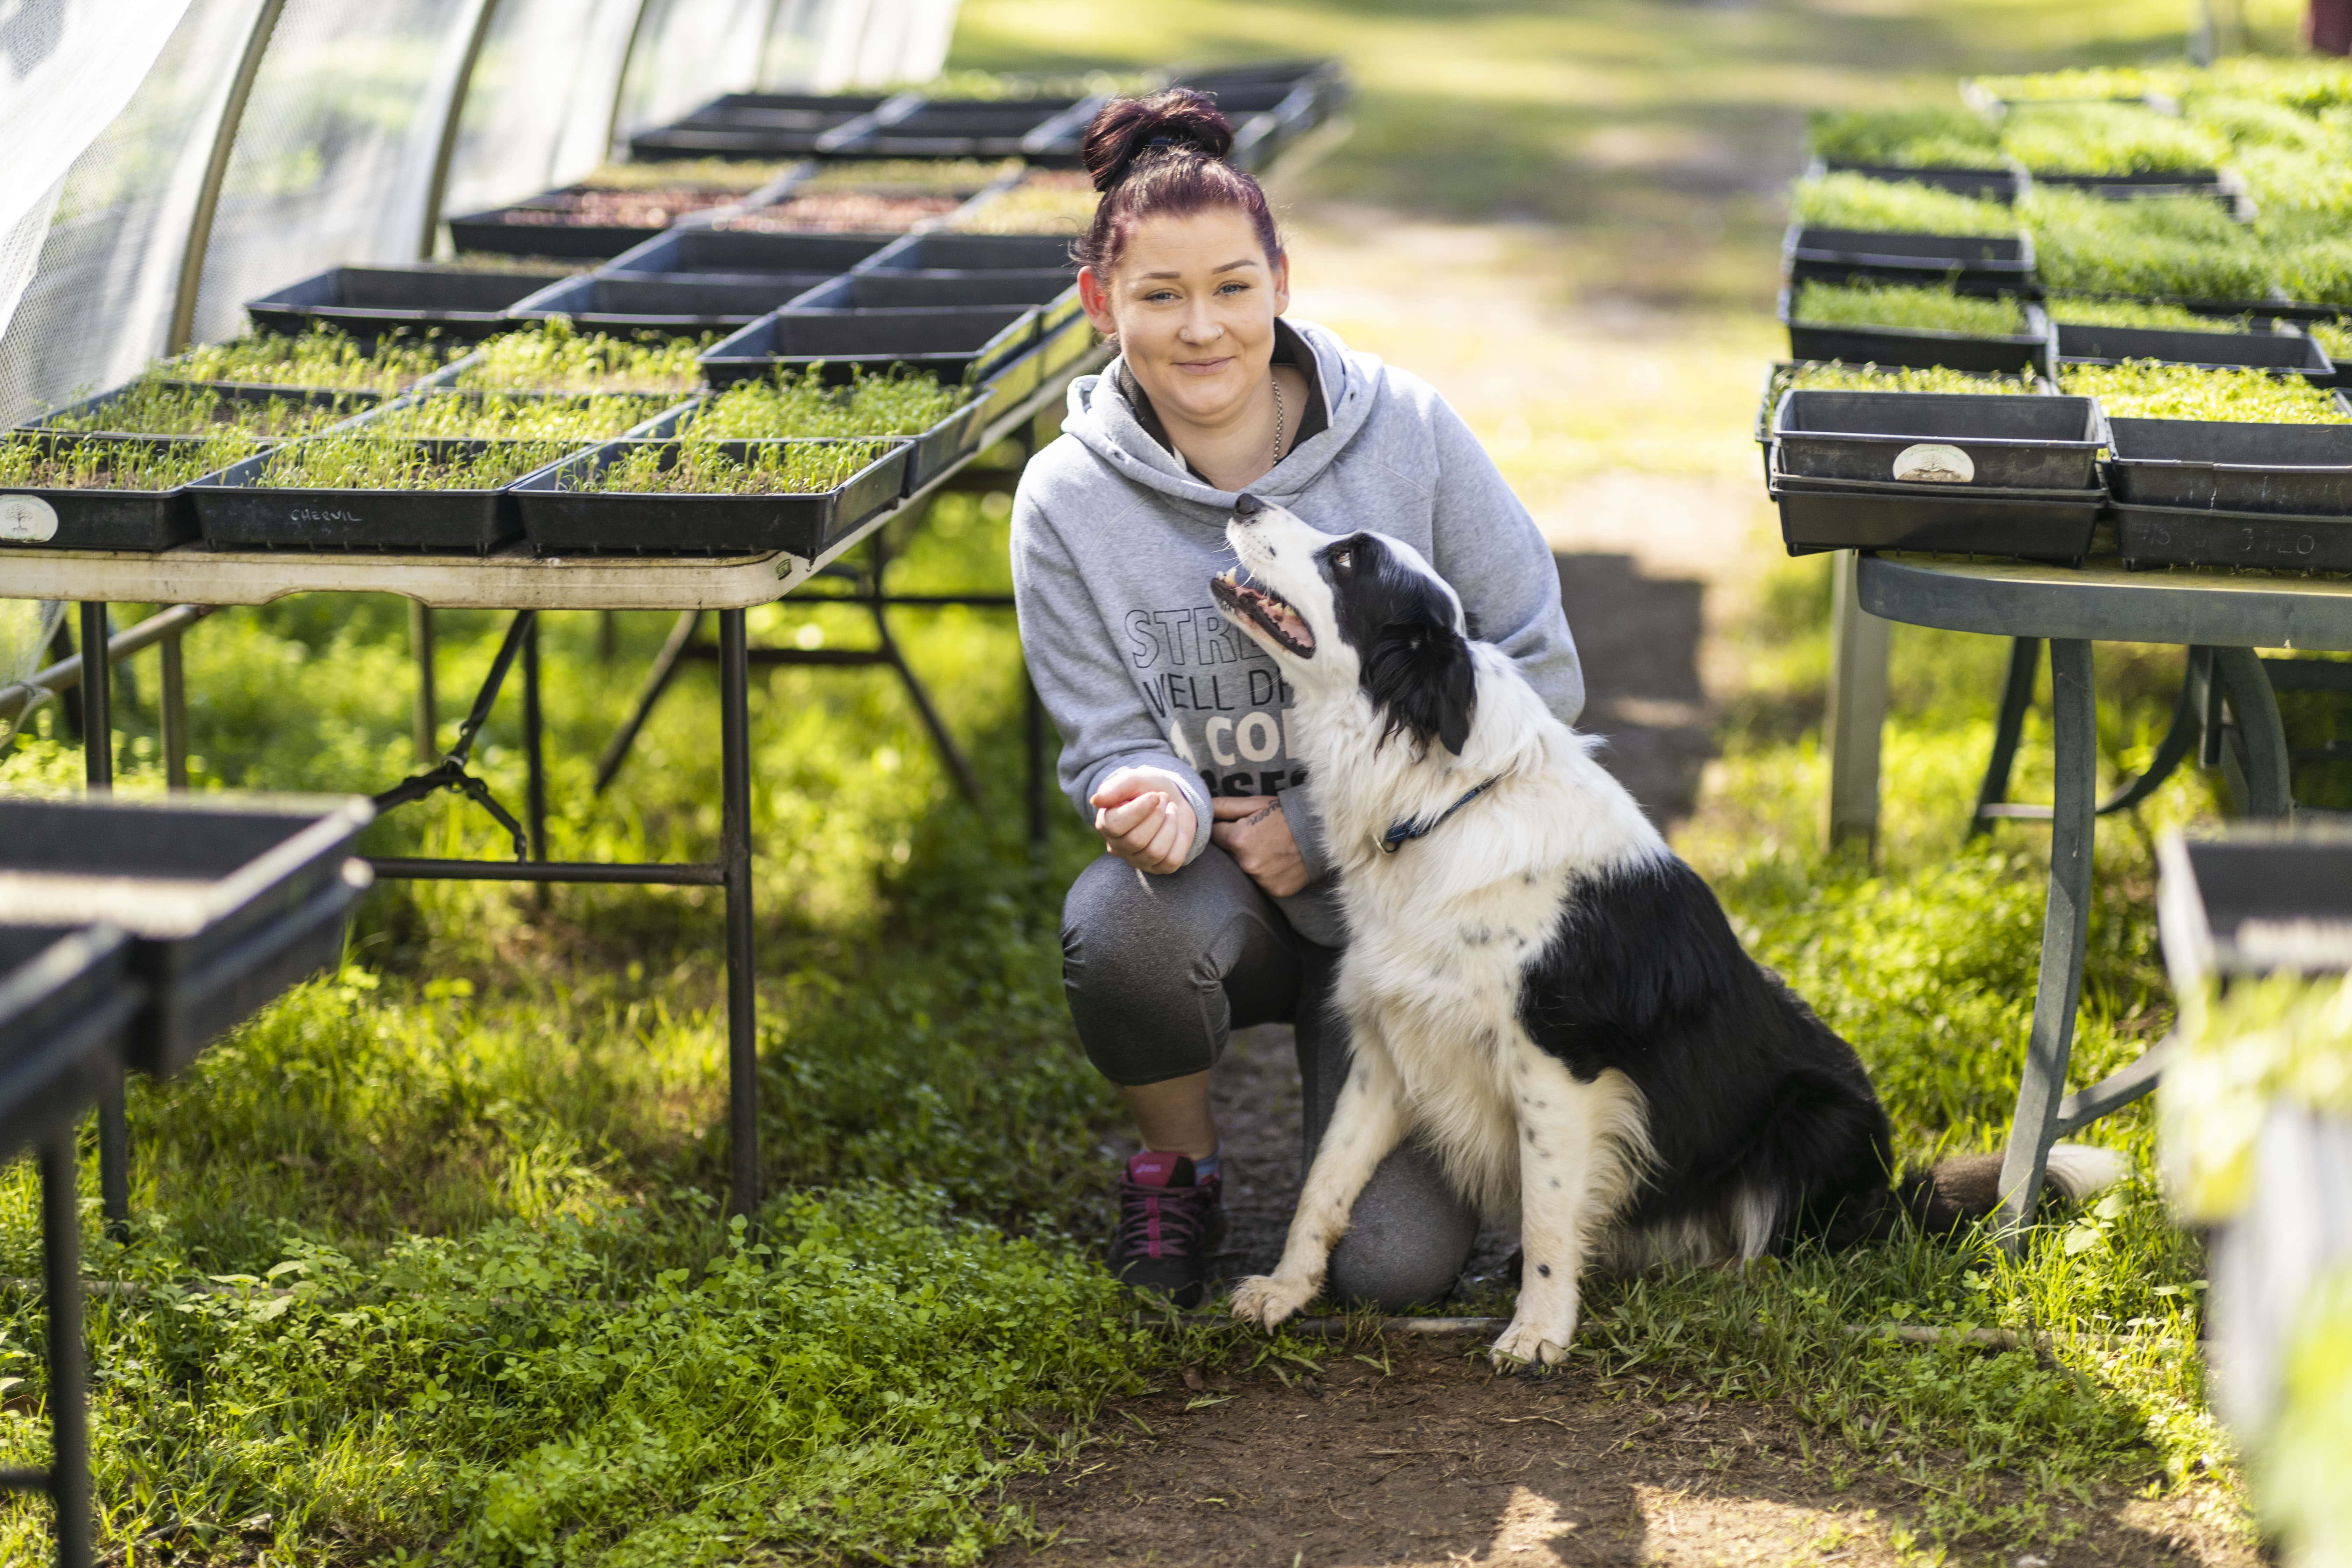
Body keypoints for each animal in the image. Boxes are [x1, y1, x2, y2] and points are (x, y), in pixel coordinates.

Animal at [1204, 496, 2126, 1363]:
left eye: (1347, 560)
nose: (1245, 501)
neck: (1442, 803)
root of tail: (1889, 1191)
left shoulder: (1559, 1067)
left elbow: (1547, 1211)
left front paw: (1540, 1331)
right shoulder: (1391, 1051)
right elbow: (1325, 1182)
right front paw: (1285, 1289)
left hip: (1815, 1120)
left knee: (1790, 1248)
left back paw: (1724, 1276)